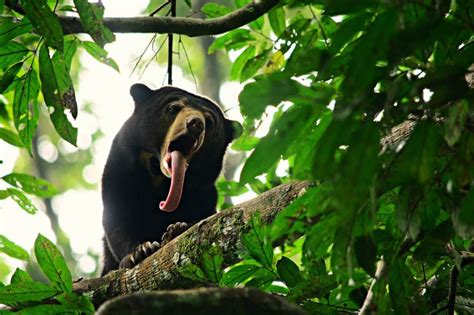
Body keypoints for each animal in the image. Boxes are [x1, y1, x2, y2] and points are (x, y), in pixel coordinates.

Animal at [100, 84, 241, 276]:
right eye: (173, 108)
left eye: (209, 121)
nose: (196, 123)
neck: (160, 178)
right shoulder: (119, 171)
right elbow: (117, 218)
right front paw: (138, 252)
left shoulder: (204, 191)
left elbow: (203, 215)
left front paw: (177, 228)